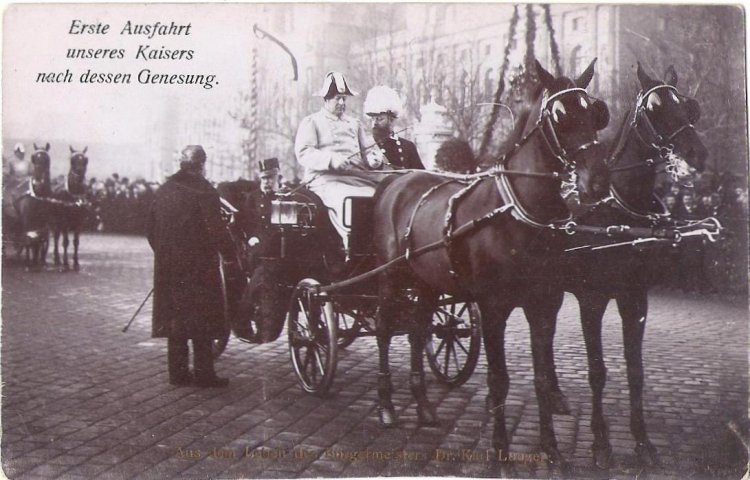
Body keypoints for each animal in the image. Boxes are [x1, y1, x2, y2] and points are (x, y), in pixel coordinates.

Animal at [372, 59, 611, 473]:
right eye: (559, 115)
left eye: (594, 112)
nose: (597, 179)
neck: (516, 213)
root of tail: (397, 182)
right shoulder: (494, 307)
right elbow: (498, 380)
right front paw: (501, 455)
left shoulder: (544, 304)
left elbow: (542, 378)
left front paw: (552, 449)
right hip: (390, 279)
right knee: (385, 330)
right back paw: (386, 406)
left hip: (426, 283)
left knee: (418, 333)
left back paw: (423, 406)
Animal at [550, 63, 708, 469]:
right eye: (654, 108)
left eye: (687, 105)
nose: (696, 154)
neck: (620, 210)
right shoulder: (591, 301)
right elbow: (597, 370)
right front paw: (601, 442)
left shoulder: (635, 298)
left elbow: (635, 371)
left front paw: (642, 441)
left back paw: (556, 396)